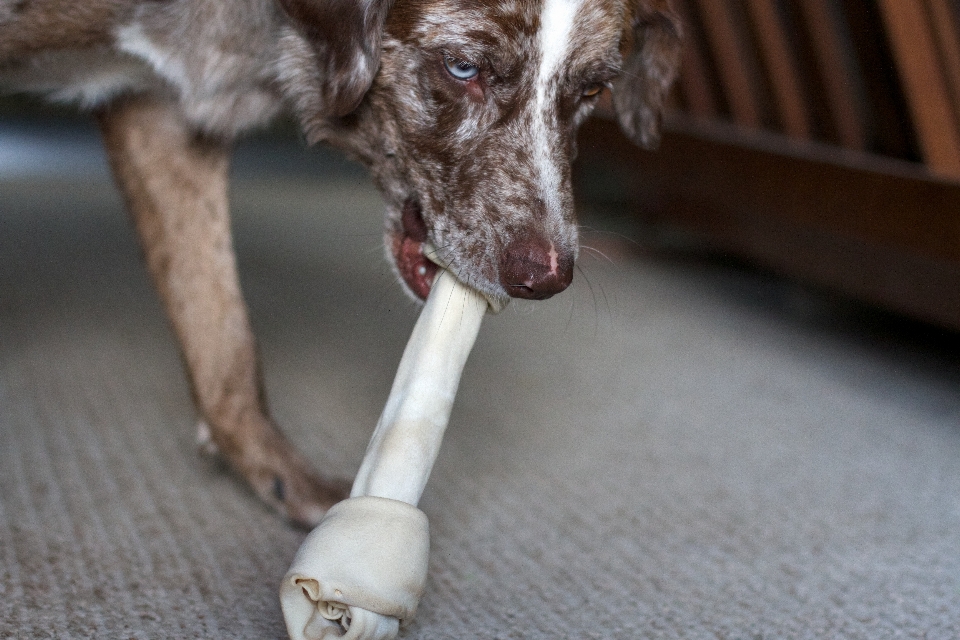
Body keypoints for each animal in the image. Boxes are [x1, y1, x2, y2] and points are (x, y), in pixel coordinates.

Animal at [3, 0, 688, 524]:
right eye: (462, 67)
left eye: (593, 90)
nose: (545, 278)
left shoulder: (163, 117)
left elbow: (223, 338)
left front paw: (274, 474)